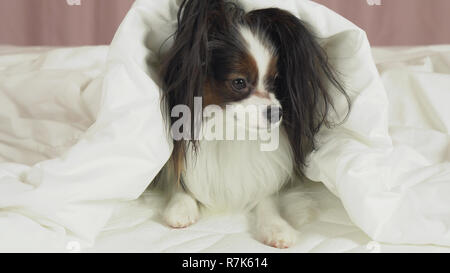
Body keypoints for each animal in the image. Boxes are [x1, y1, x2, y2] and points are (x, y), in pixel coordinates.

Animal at [156, 0, 350, 248]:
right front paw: (181, 207)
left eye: (275, 80)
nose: (276, 112)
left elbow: (267, 198)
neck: (229, 132)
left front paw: (276, 227)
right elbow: (180, 180)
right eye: (239, 82)